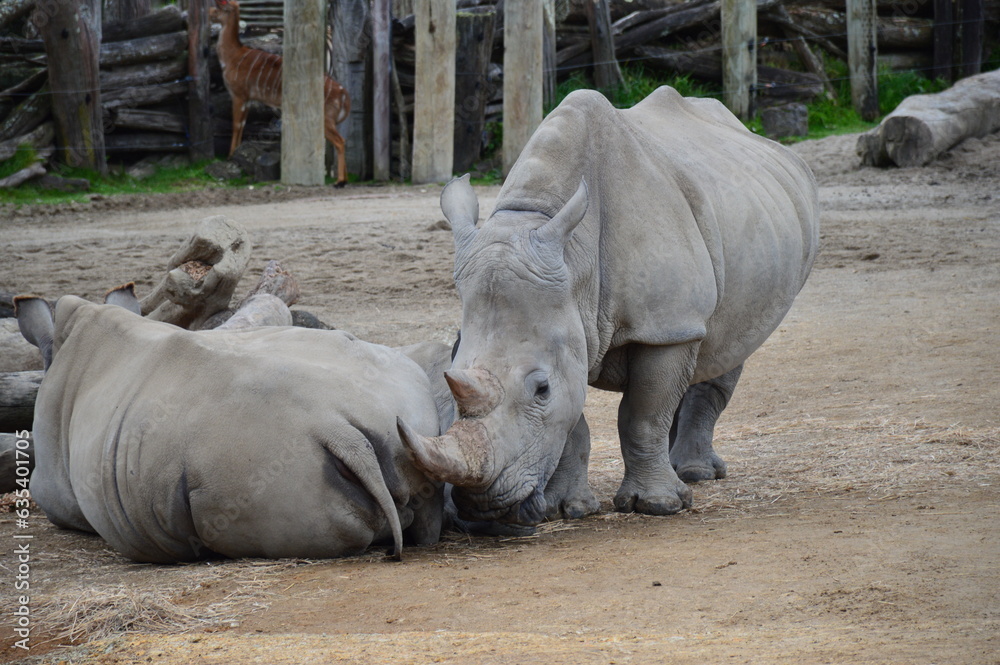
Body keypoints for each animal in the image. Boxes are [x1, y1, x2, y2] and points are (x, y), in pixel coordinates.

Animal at [398, 86, 819, 525]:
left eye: (541, 389)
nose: (479, 504)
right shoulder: (572, 330)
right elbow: (574, 424)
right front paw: (566, 509)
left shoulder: (661, 326)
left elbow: (643, 416)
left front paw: (658, 505)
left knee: (727, 345)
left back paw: (695, 474)